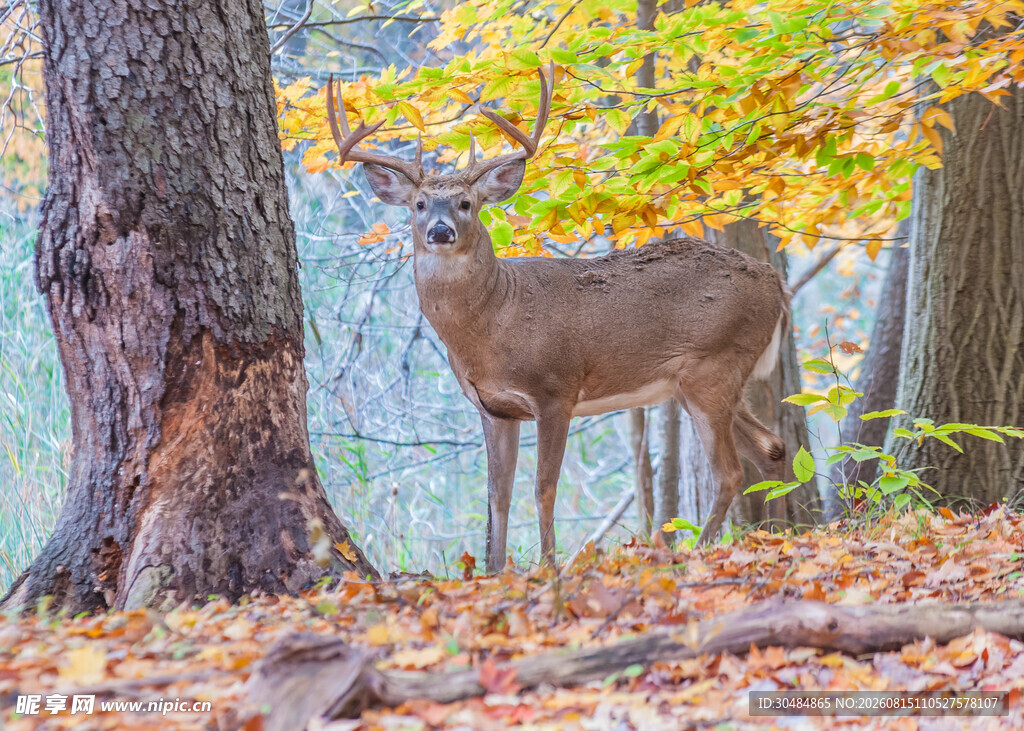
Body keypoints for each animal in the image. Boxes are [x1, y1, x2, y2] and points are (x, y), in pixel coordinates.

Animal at [326, 66, 790, 572]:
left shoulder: (555, 389)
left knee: (730, 471)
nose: (441, 231)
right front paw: (494, 571)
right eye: (419, 205)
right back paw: (777, 537)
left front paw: (549, 567)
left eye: (467, 203)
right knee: (771, 449)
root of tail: (777, 285)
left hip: (713, 365)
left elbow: (543, 488)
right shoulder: (493, 407)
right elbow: (498, 495)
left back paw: (701, 551)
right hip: (700, 383)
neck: (494, 323)